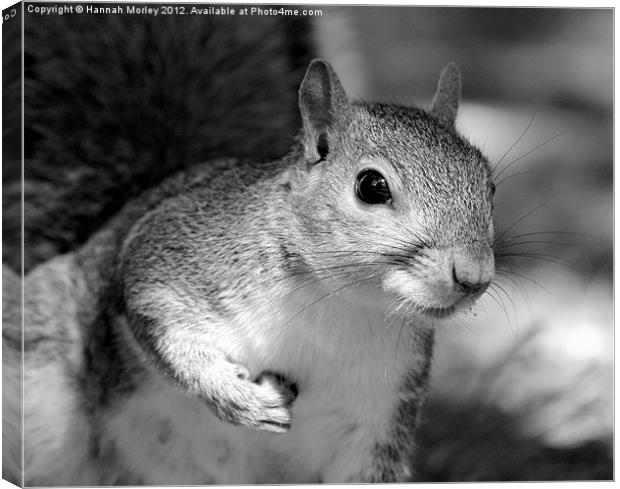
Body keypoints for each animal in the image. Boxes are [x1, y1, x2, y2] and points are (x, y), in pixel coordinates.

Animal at [2, 55, 494, 482]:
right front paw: (237, 399)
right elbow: (164, 330)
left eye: (488, 184)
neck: (337, 303)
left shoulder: (378, 420)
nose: (473, 277)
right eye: (371, 187)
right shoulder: (163, 258)